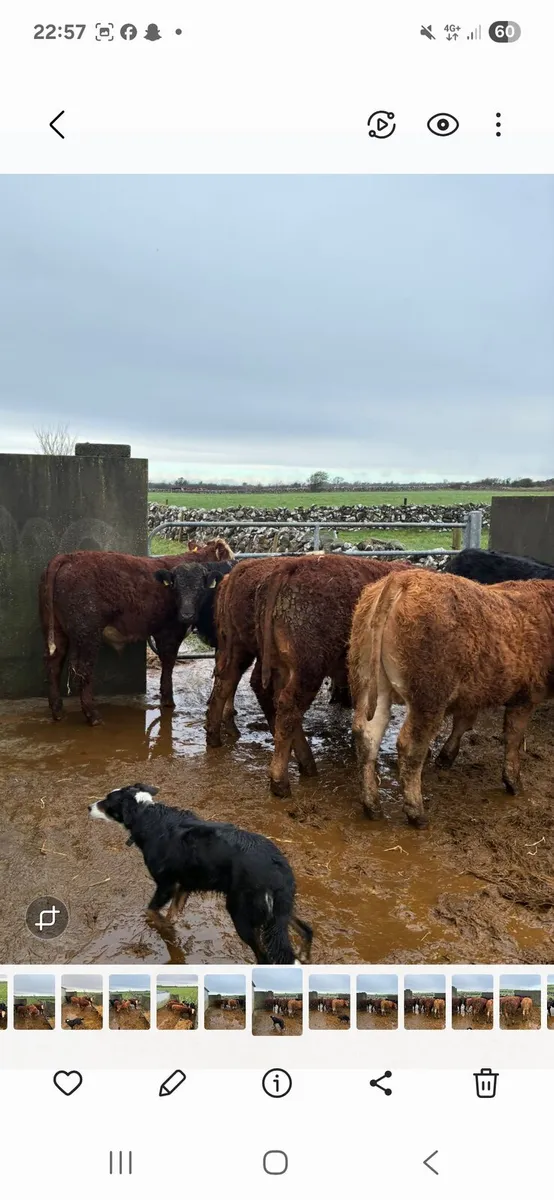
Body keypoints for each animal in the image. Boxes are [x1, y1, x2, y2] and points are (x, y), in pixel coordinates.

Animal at [39, 539, 233, 725]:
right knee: (83, 670)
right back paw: (92, 715)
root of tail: (67, 557)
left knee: (53, 664)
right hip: (88, 635)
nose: (187, 614)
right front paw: (168, 701)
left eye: (200, 588)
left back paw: (57, 711)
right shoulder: (171, 632)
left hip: (56, 630)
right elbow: (169, 664)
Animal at [251, 555, 413, 796]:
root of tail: (290, 567)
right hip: (309, 670)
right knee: (289, 708)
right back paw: (281, 782)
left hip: (279, 665)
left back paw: (307, 765)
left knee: (275, 699)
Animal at [349, 569, 554, 827]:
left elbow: (463, 723)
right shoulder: (526, 697)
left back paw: (372, 806)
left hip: (370, 682)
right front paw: (514, 783)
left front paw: (446, 757)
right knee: (410, 746)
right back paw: (417, 813)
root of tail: (403, 577)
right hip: (429, 696)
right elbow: (513, 738)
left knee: (367, 735)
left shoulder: (472, 695)